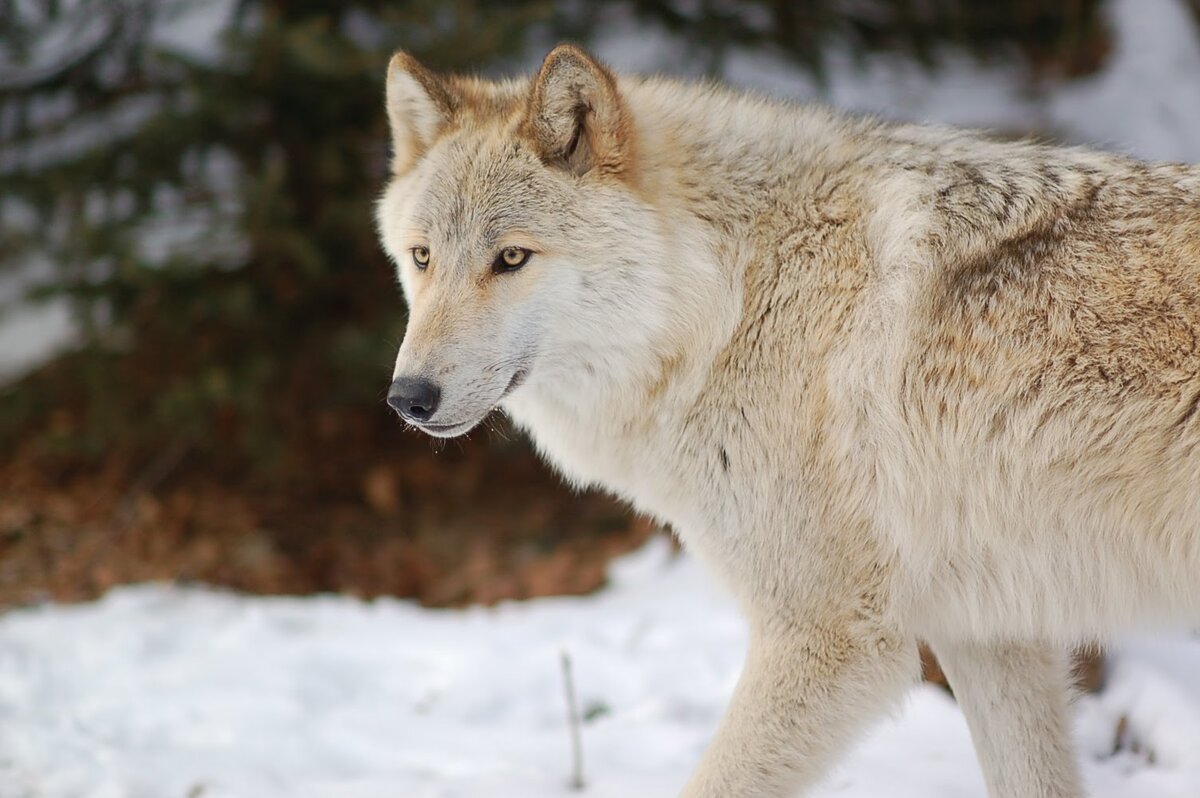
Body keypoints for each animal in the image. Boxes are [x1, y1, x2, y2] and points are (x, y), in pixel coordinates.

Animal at [374, 45, 1200, 796]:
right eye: (422, 258)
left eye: (511, 258)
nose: (407, 398)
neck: (730, 298)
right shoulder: (990, 633)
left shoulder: (829, 638)